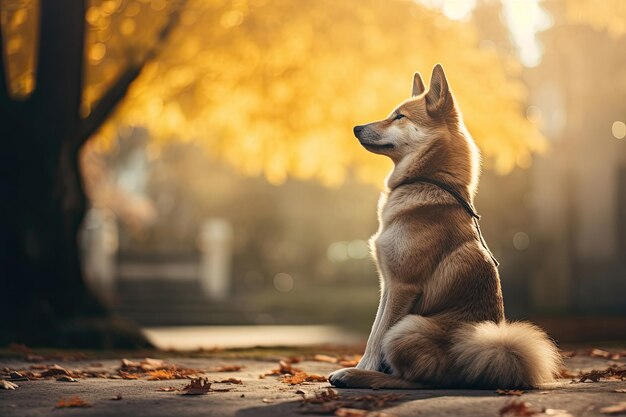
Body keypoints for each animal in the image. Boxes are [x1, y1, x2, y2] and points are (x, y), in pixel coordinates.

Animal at [330, 63, 560, 388]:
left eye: (399, 116)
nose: (356, 128)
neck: (429, 180)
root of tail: (474, 362)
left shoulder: (402, 285)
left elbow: (376, 336)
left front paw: (364, 367)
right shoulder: (388, 283)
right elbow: (374, 328)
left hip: (409, 325)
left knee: (417, 379)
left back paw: (361, 377)